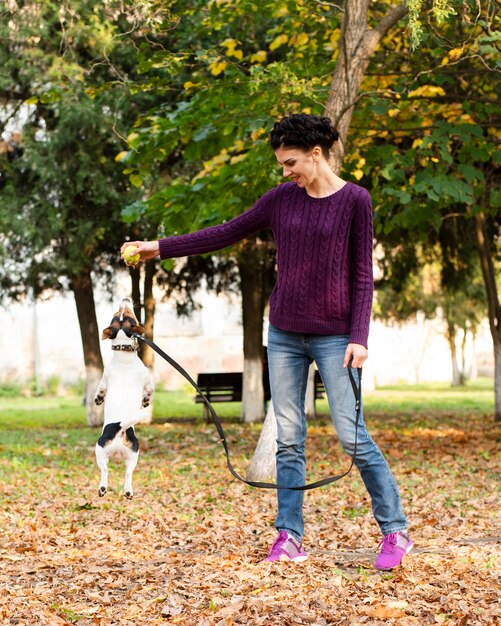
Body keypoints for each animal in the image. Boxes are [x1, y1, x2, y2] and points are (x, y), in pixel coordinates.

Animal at [93, 298, 152, 498]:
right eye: (127, 314)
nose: (125, 300)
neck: (123, 351)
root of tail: (120, 428)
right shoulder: (147, 379)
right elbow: (149, 390)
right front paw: (146, 401)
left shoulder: (104, 378)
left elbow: (100, 390)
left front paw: (98, 399)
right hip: (121, 453)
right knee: (121, 473)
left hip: (112, 453)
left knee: (112, 471)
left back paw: (110, 489)